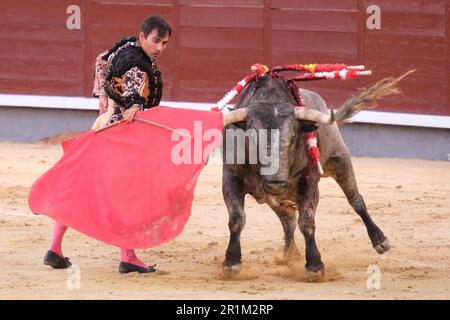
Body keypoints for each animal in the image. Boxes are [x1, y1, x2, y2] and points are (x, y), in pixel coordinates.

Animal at [220, 69, 414, 280]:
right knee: (288, 219)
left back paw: (380, 240)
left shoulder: (309, 179)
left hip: (340, 159)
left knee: (356, 200)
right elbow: (237, 218)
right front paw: (231, 262)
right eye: (251, 137)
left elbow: (307, 221)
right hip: (271, 196)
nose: (276, 183)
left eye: (294, 136)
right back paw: (290, 254)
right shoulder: (230, 177)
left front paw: (314, 265)